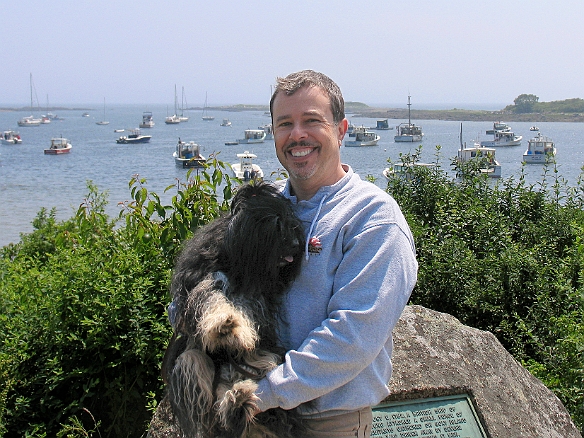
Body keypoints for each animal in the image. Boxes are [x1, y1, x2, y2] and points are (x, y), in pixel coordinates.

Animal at [161, 181, 306, 438]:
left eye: (292, 224)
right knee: (202, 387)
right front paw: (223, 323)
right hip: (191, 360)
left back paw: (239, 400)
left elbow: (243, 313)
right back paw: (236, 401)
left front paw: (232, 327)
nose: (297, 245)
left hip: (264, 359)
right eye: (276, 224)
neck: (238, 262)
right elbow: (212, 299)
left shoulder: (253, 301)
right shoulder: (205, 282)